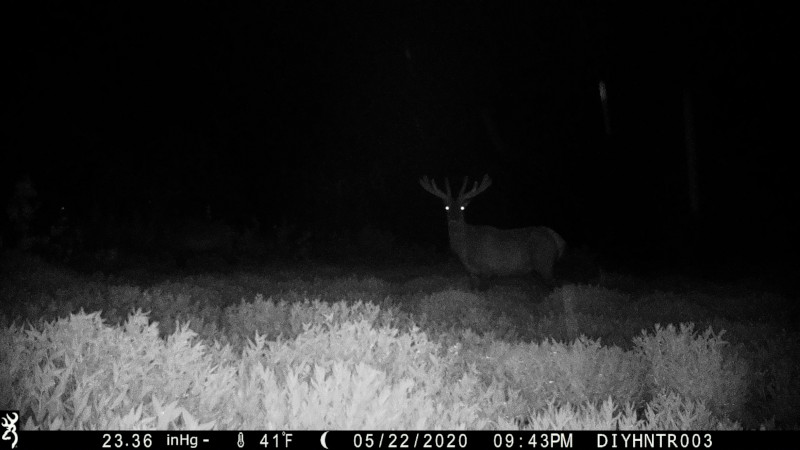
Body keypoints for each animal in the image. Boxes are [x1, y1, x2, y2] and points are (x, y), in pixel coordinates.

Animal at [419, 174, 566, 289]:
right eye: (446, 207)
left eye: (462, 208)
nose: (454, 221)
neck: (465, 249)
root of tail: (557, 238)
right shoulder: (471, 272)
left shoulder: (488, 269)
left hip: (544, 262)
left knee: (555, 285)